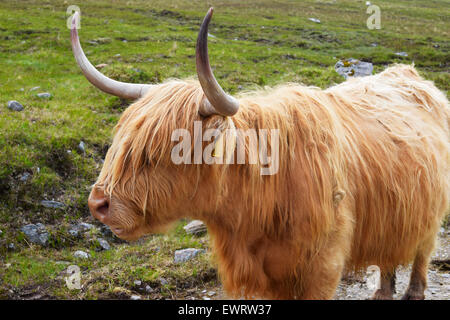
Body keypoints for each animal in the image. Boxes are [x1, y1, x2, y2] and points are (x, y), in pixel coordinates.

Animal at [71, 10, 450, 300]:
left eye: (159, 151)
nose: (97, 203)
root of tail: (410, 72)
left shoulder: (323, 269)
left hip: (430, 214)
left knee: (422, 250)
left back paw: (413, 291)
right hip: (397, 211)